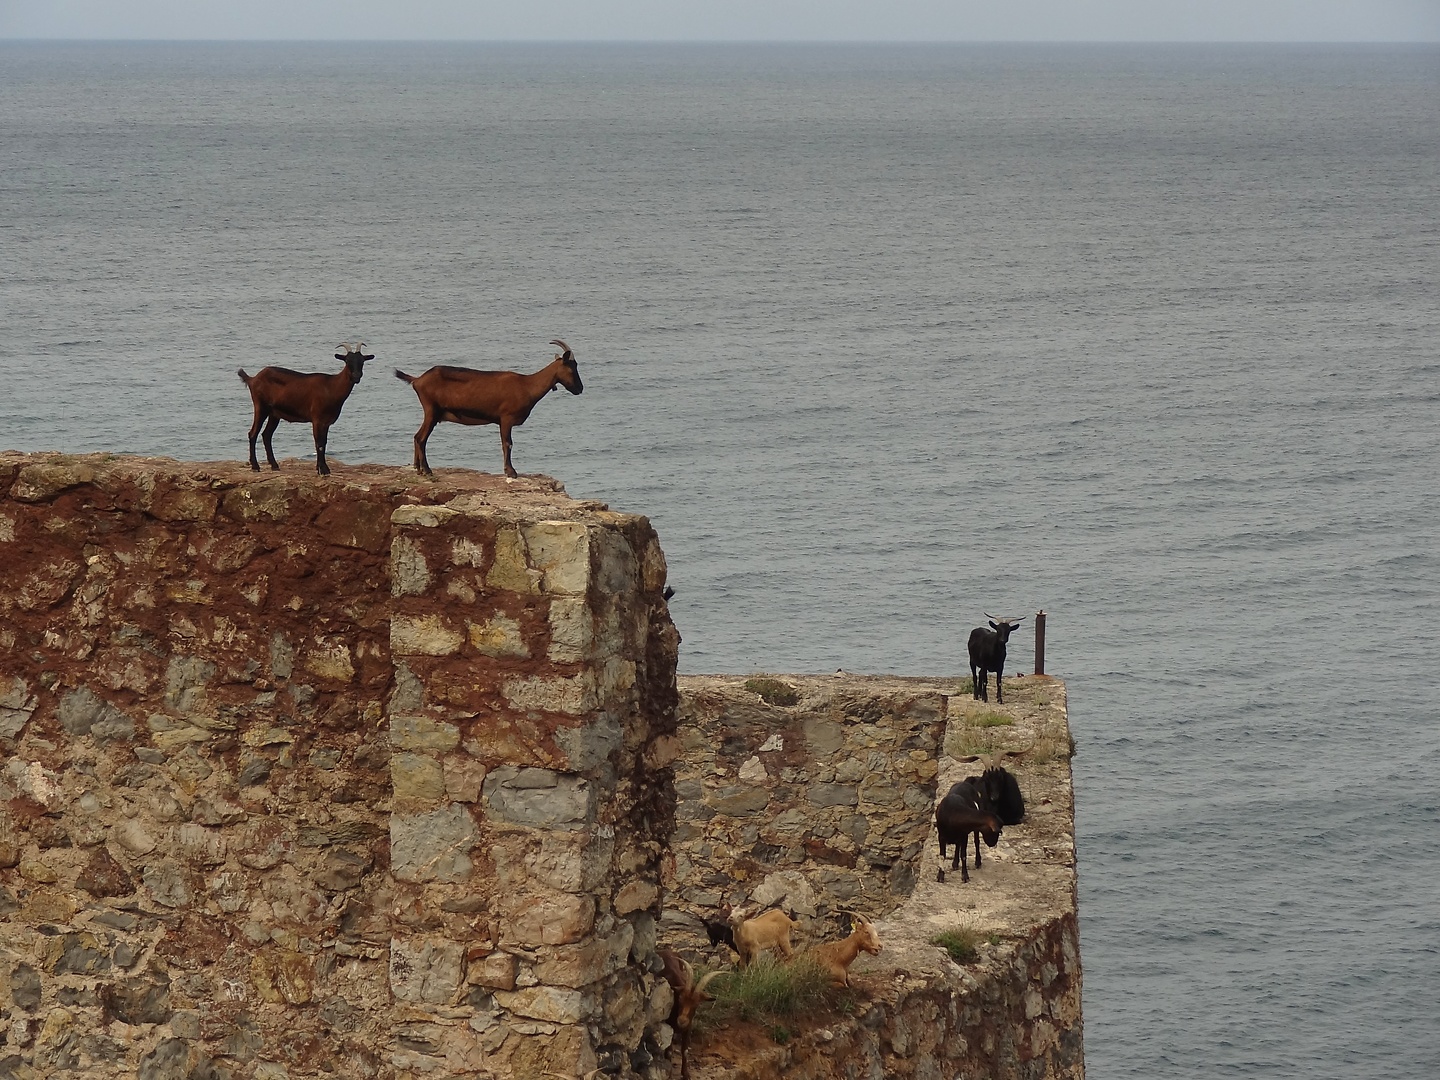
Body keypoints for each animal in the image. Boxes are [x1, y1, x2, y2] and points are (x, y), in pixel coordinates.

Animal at [239, 339, 371, 472]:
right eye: (347, 361)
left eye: (362, 361)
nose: (356, 376)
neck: (331, 387)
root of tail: (253, 379)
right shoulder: (317, 419)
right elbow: (319, 443)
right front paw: (323, 470)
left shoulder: (326, 422)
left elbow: (324, 442)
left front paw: (321, 468)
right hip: (261, 406)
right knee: (253, 433)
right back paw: (255, 466)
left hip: (274, 413)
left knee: (266, 435)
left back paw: (274, 465)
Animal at [394, 338, 584, 478]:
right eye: (572, 367)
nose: (580, 389)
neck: (527, 385)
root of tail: (418, 379)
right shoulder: (506, 418)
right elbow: (507, 443)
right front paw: (511, 472)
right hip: (432, 410)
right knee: (421, 438)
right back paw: (427, 470)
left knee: (418, 437)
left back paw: (418, 469)